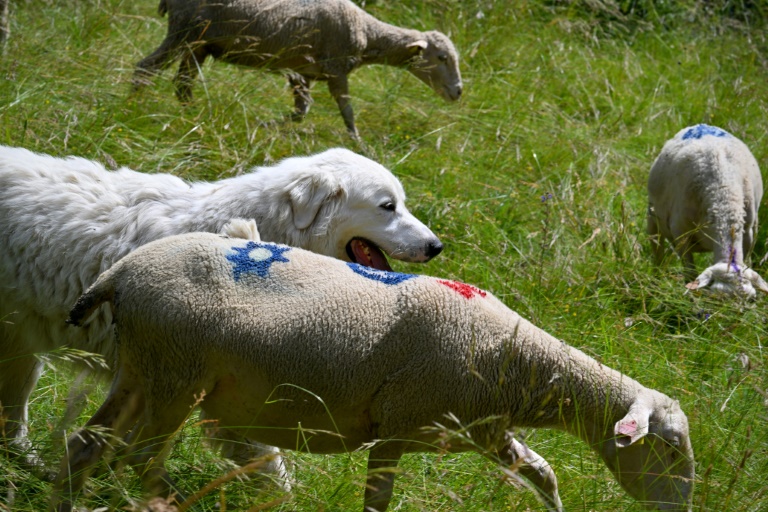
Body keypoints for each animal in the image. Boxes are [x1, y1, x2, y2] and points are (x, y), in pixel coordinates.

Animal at [0, 145, 440, 484]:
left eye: (401, 203)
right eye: (388, 207)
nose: (437, 247)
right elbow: (272, 469)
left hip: (21, 350)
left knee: (12, 418)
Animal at [132, 0, 462, 138]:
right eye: (442, 57)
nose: (458, 92)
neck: (369, 34)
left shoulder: (303, 73)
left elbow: (301, 111)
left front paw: (264, 125)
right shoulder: (336, 71)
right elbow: (347, 111)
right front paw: (359, 144)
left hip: (199, 45)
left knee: (182, 85)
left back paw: (193, 115)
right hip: (183, 32)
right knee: (145, 68)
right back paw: (134, 106)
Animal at [648, 124, 768, 298]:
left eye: (751, 300)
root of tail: (700, 125)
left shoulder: (749, 233)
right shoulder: (681, 234)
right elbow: (689, 273)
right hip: (652, 218)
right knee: (657, 251)